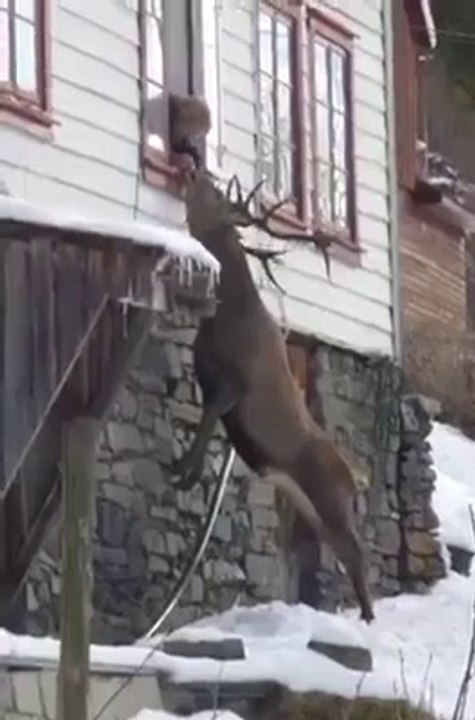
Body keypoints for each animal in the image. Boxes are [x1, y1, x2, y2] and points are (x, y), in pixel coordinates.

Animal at [171, 166, 374, 624]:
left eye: (216, 195)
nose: (193, 168)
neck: (225, 316)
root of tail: (355, 477)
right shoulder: (207, 377)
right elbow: (206, 419)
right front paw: (186, 470)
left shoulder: (237, 382)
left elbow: (209, 417)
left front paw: (184, 471)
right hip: (315, 510)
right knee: (340, 553)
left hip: (332, 501)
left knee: (356, 553)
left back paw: (369, 620)